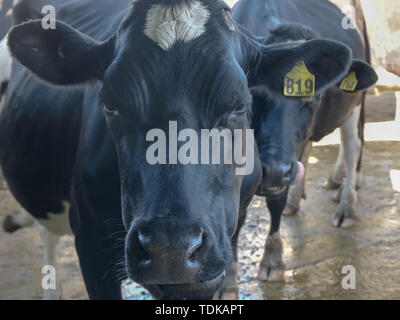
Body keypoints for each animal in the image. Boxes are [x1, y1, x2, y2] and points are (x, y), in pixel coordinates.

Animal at [233, 0, 376, 284]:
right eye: (252, 92)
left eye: (317, 96)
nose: (274, 170)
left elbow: (275, 201)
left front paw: (273, 259)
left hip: (356, 103)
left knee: (353, 144)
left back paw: (346, 205)